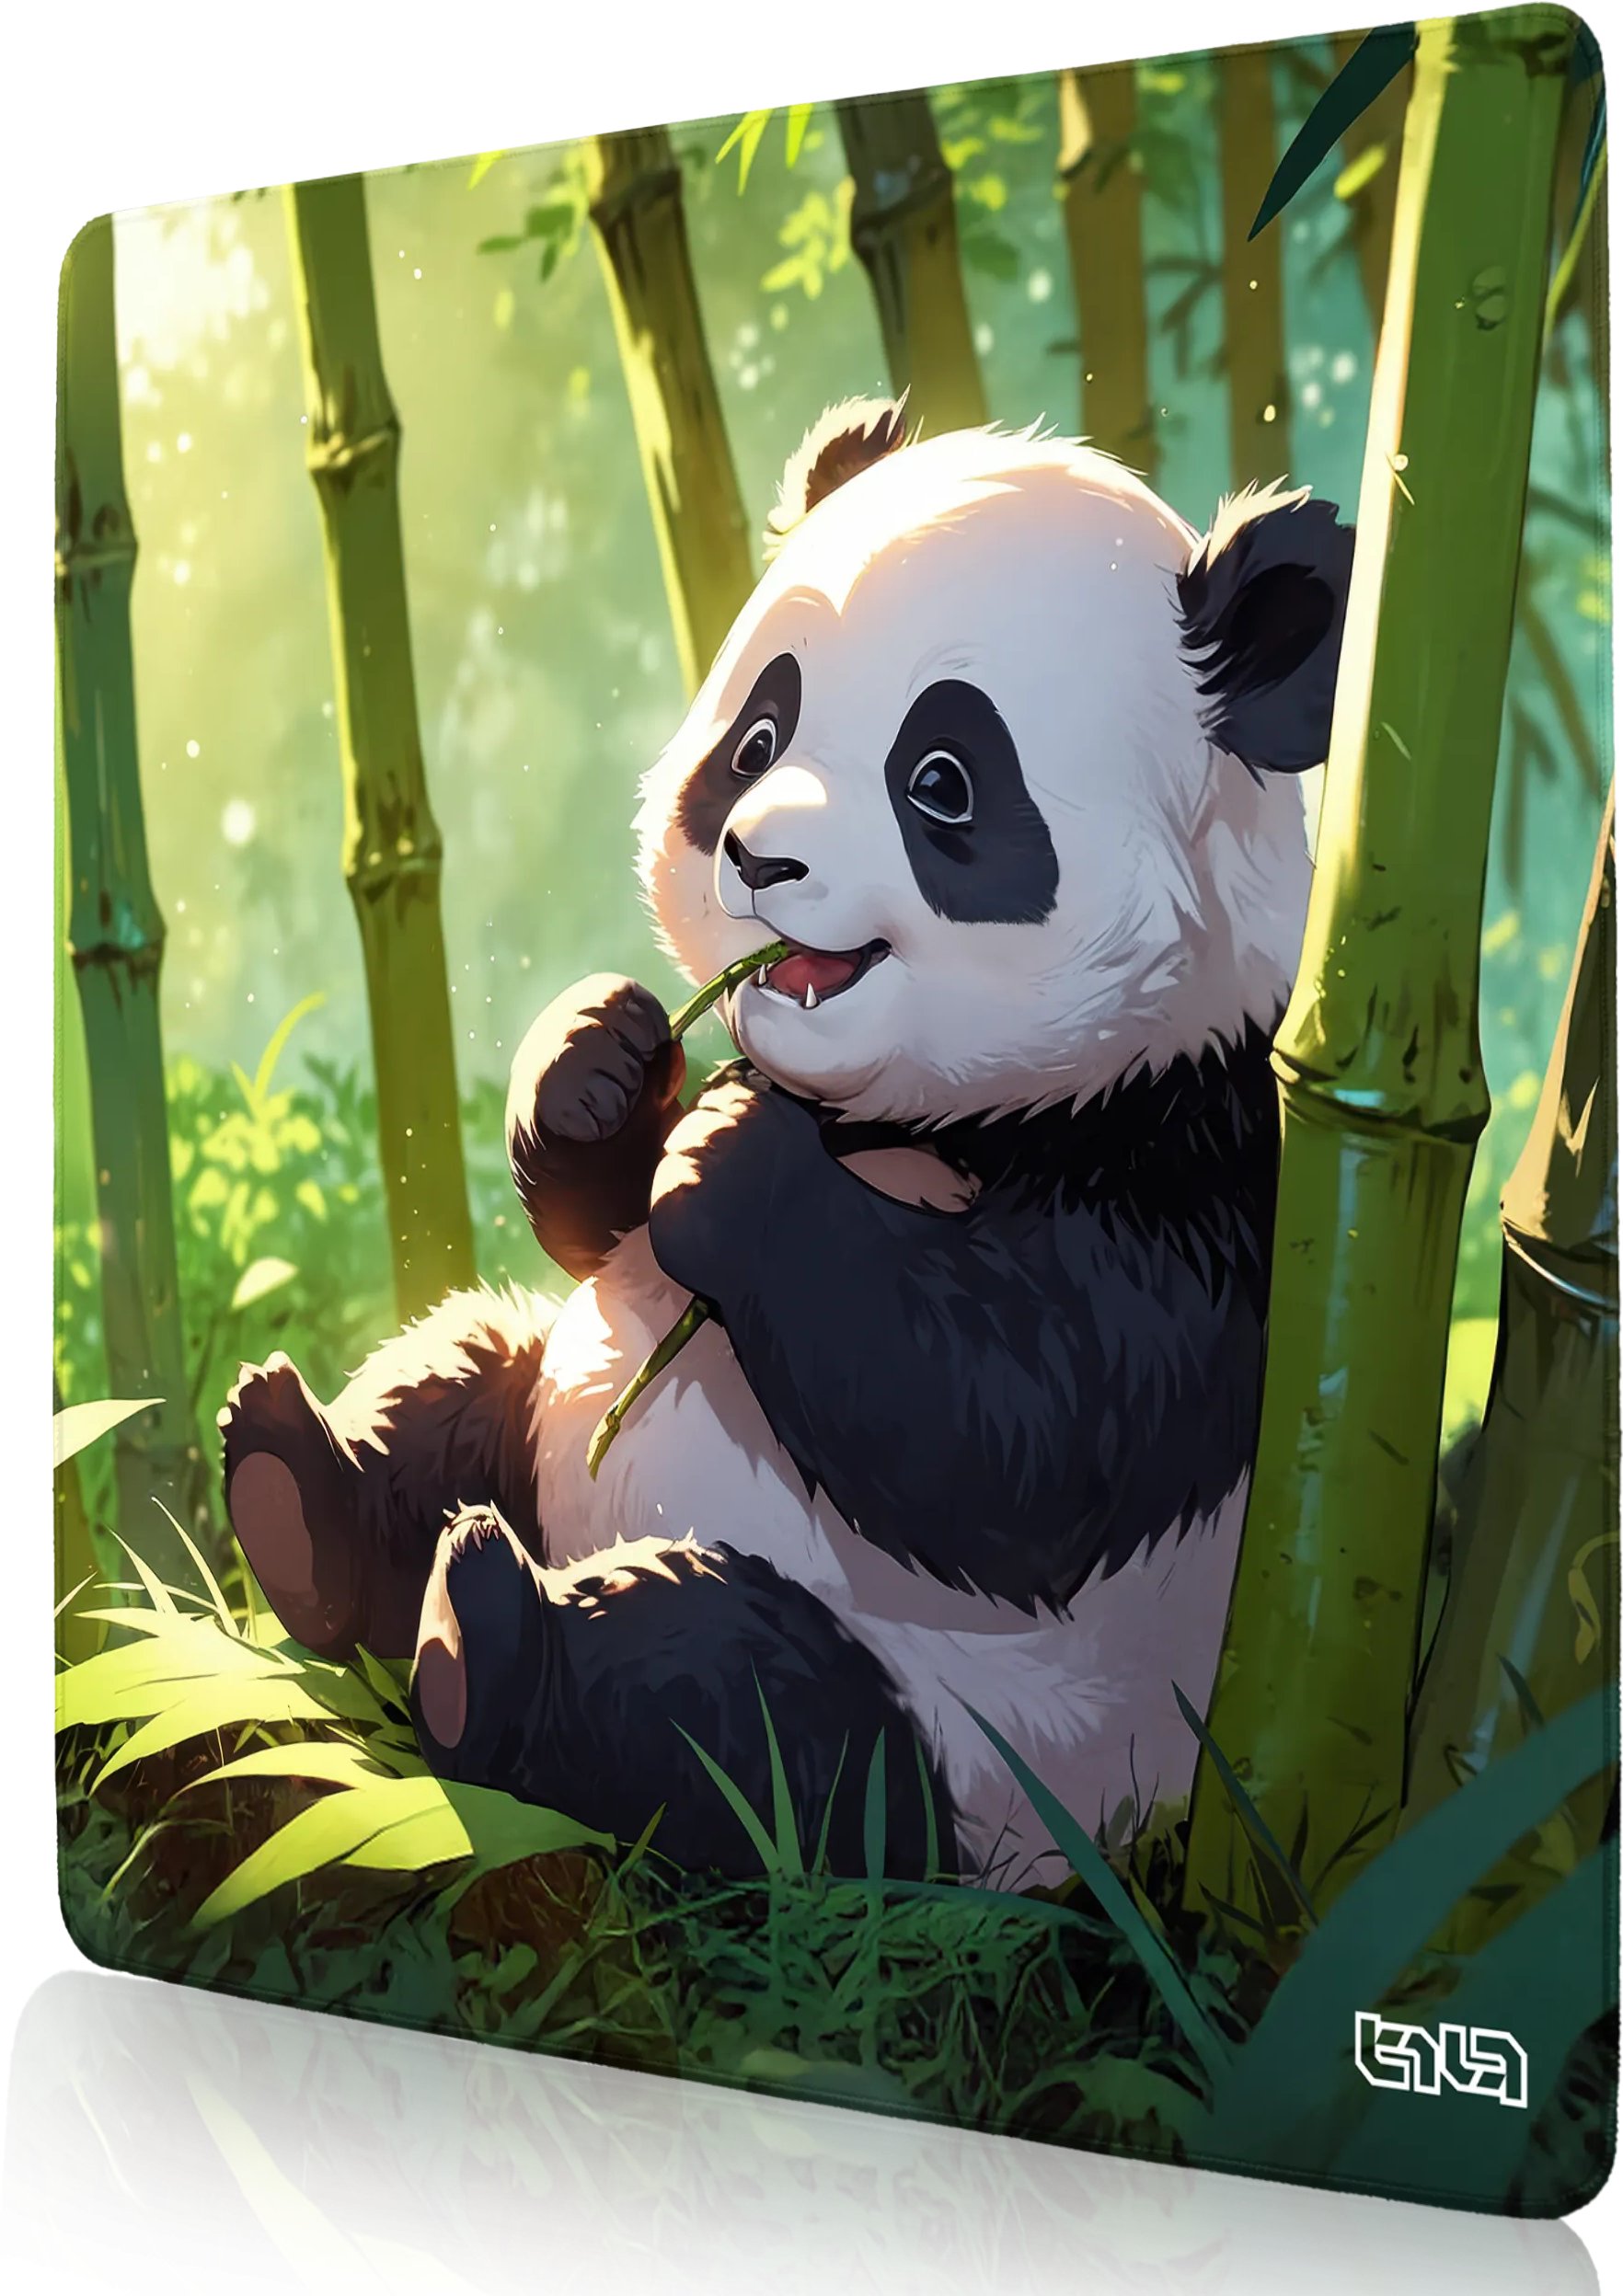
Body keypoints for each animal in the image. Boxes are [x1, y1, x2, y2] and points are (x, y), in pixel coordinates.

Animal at [221, 399, 1352, 1890]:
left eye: (945, 781)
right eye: (758, 737)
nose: (763, 860)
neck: (906, 1115)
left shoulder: (1196, 1167)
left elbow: (1026, 1439)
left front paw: (731, 1167)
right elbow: (604, 1223)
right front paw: (597, 1068)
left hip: (994, 1758)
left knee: (741, 1720)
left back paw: (486, 1644)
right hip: (546, 1405)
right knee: (463, 1373)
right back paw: (295, 1495)